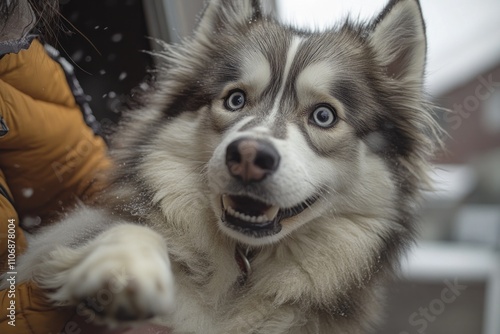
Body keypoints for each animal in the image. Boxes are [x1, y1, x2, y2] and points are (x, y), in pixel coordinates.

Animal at [5, 0, 440, 332]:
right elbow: (134, 229)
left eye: (323, 116)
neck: (241, 271)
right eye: (235, 100)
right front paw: (123, 267)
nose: (248, 156)